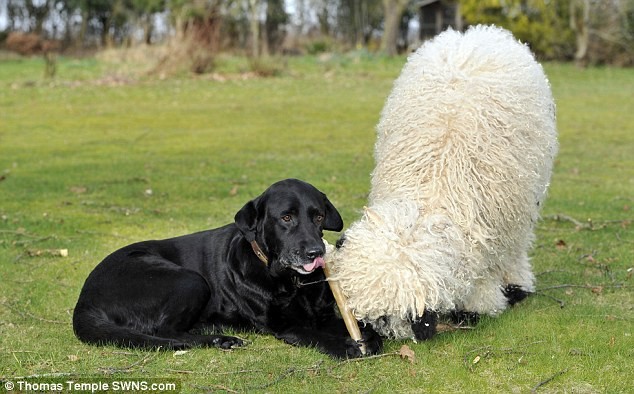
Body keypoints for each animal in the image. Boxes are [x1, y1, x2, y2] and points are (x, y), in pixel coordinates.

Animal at [74, 180, 380, 358]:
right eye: (286, 218)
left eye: (318, 216)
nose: (315, 252)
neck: (291, 282)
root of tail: (84, 300)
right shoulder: (283, 324)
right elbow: (315, 336)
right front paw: (345, 346)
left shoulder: (321, 315)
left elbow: (363, 327)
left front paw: (370, 338)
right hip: (190, 280)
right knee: (166, 331)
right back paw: (220, 339)